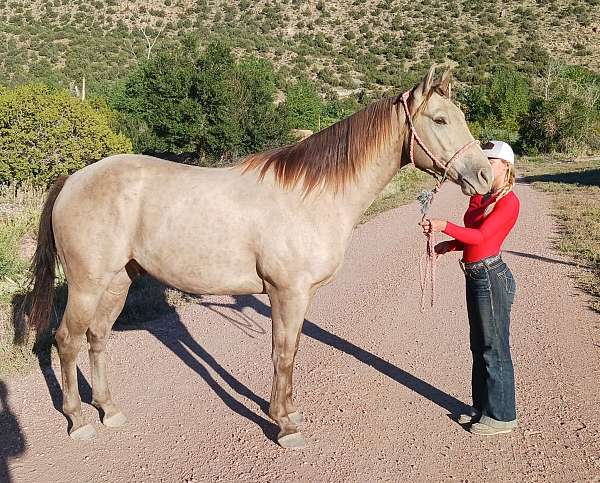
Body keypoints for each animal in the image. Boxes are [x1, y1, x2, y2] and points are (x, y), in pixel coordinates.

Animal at [27, 65, 492, 450]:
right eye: (440, 119)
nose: (485, 175)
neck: (311, 196)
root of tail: (73, 178)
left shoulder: (298, 296)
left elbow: (293, 349)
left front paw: (290, 413)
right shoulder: (287, 292)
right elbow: (283, 353)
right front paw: (284, 427)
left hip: (117, 281)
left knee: (97, 339)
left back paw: (109, 410)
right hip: (87, 284)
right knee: (66, 341)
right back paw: (78, 421)